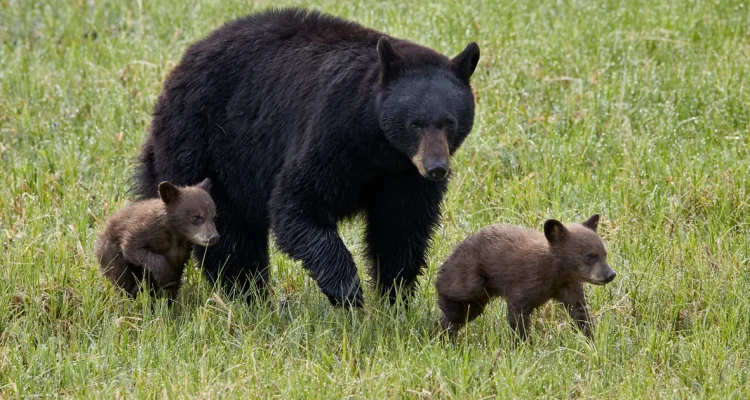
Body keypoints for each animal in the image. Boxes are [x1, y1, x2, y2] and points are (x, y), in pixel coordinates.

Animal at [133, 8, 480, 307]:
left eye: (449, 122)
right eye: (415, 123)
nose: (436, 168)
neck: (379, 148)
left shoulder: (404, 175)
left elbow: (401, 227)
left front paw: (395, 297)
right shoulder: (332, 133)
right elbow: (298, 202)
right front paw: (348, 290)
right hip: (205, 146)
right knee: (230, 235)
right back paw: (247, 295)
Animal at [435, 214, 616, 340]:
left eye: (604, 254)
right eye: (589, 256)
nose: (610, 274)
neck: (556, 272)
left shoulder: (569, 285)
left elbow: (580, 311)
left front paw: (590, 338)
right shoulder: (527, 280)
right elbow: (518, 312)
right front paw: (523, 344)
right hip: (471, 274)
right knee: (456, 294)